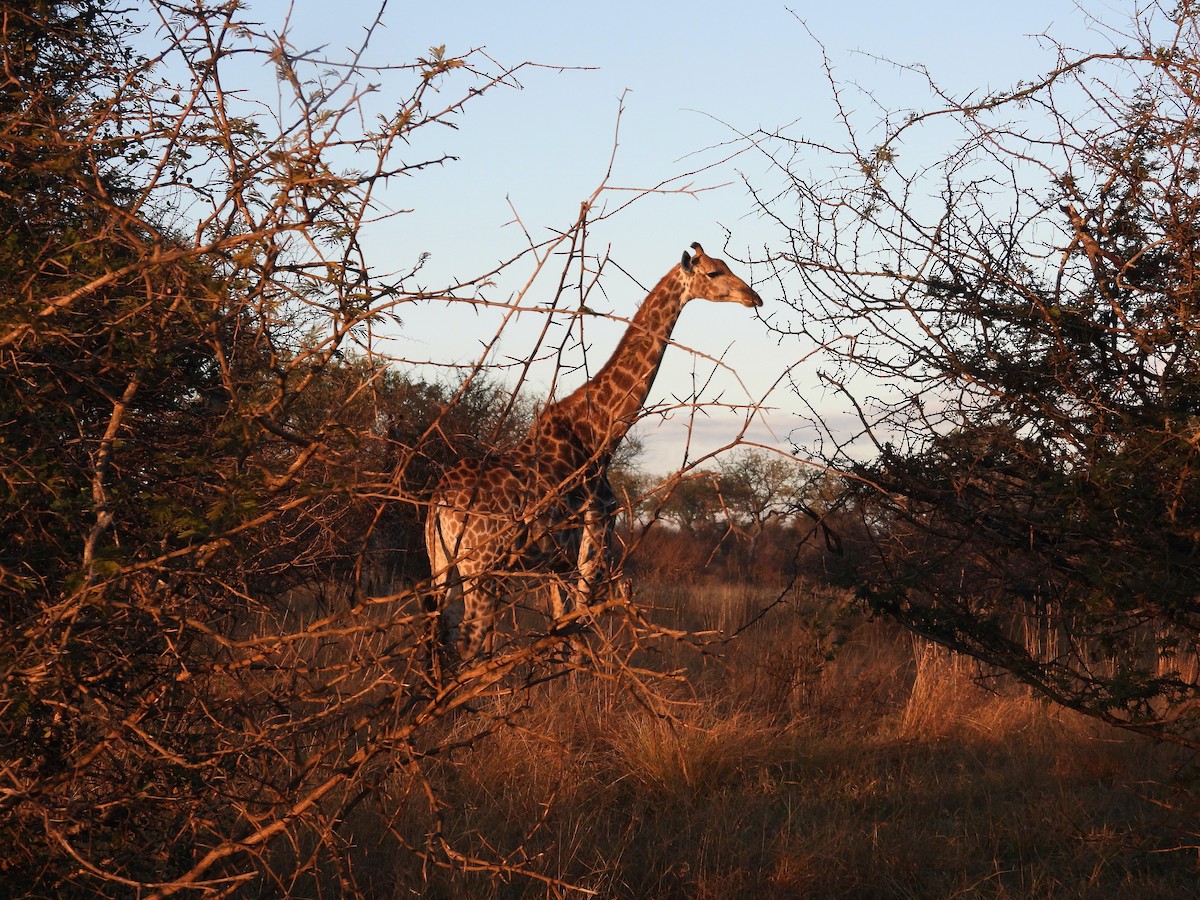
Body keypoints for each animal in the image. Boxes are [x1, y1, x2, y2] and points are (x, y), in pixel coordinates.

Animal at [425, 242, 763, 666]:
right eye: (714, 272)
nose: (754, 297)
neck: (600, 434)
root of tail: (439, 503)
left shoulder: (556, 566)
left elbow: (561, 633)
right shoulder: (594, 544)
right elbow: (576, 636)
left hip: (443, 569)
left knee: (442, 643)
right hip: (480, 567)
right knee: (468, 645)